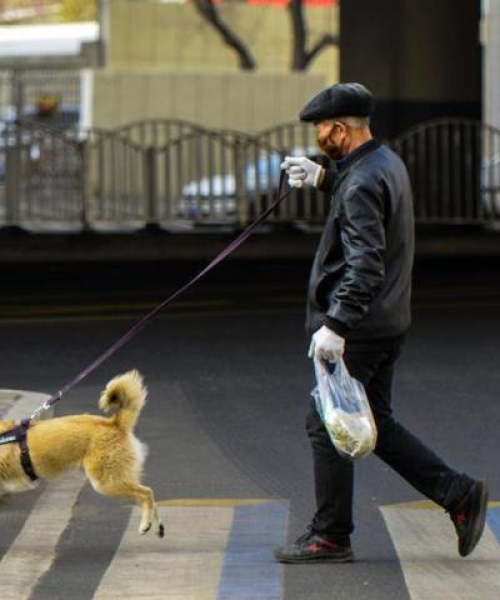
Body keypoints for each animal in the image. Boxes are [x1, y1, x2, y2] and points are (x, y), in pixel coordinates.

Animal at [0, 370, 166, 540]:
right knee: (147, 496)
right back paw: (157, 528)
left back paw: (146, 524)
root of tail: (114, 423)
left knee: (146, 493)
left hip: (107, 482)